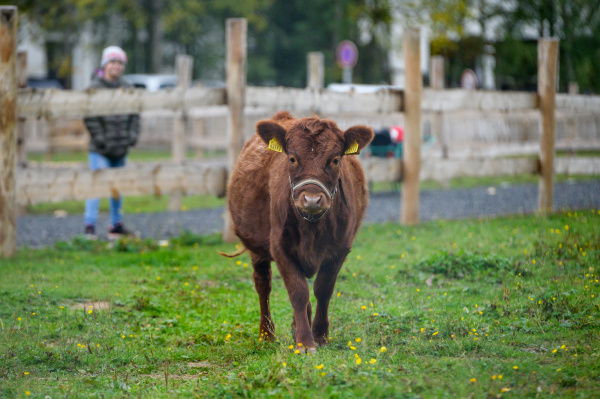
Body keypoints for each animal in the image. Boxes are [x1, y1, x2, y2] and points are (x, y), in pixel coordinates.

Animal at [227, 111, 372, 352]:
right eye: (292, 158)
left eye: (335, 159)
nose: (311, 199)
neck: (312, 227)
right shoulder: (279, 248)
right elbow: (298, 292)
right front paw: (304, 342)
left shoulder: (339, 249)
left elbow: (323, 290)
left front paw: (319, 336)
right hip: (257, 249)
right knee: (263, 285)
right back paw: (267, 334)